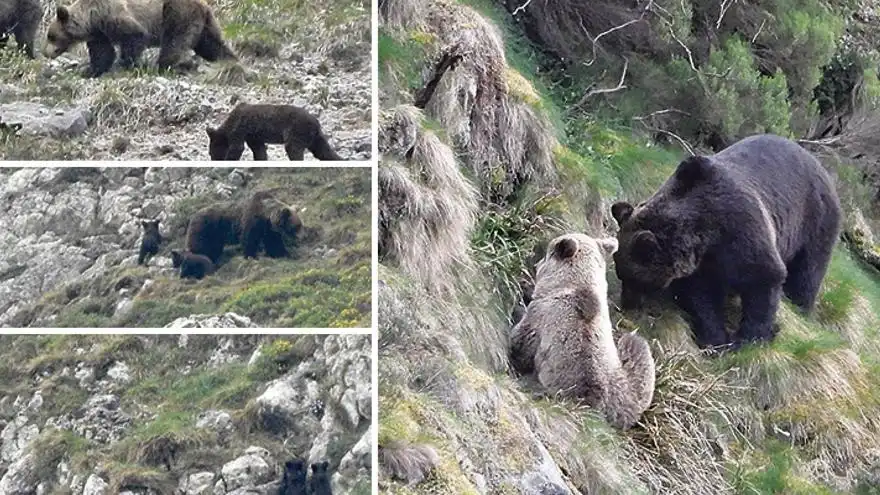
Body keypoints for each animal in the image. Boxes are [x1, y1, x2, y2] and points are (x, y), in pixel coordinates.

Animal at [43, 0, 235, 77]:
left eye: (51, 36)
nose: (45, 53)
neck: (92, 18)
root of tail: (204, 4)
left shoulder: (115, 18)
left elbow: (134, 36)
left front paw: (128, 64)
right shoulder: (100, 33)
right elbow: (102, 53)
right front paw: (91, 70)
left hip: (177, 12)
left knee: (174, 41)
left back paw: (168, 65)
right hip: (205, 23)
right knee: (212, 44)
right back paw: (230, 61)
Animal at [206, 104, 344, 161]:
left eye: (211, 152)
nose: (213, 158)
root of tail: (316, 122)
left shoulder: (240, 130)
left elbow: (236, 148)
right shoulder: (253, 136)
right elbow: (259, 150)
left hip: (297, 130)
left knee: (293, 148)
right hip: (315, 138)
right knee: (324, 152)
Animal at [611, 134, 842, 350]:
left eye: (634, 279)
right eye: (621, 273)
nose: (626, 303)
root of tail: (821, 168)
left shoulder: (741, 228)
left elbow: (764, 278)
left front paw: (750, 338)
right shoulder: (703, 262)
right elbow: (703, 297)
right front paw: (715, 339)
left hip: (815, 219)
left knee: (808, 271)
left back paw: (801, 307)